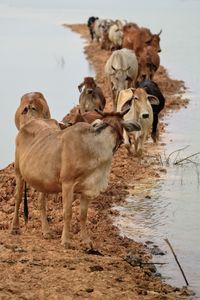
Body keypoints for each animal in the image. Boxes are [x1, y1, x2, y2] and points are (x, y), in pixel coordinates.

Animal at [10, 111, 140, 247]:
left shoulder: (88, 188)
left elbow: (83, 215)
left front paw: (86, 241)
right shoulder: (67, 183)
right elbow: (68, 212)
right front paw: (66, 240)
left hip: (43, 181)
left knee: (41, 203)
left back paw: (46, 231)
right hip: (18, 172)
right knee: (18, 198)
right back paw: (15, 228)